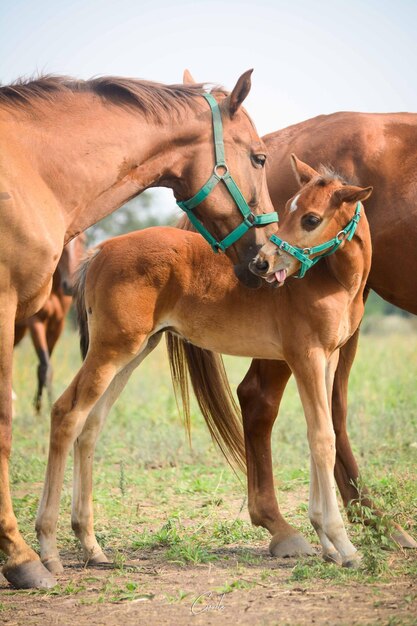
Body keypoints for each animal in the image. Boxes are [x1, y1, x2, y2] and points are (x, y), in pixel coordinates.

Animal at [14, 233, 86, 410]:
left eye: (83, 240)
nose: (70, 285)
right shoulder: (36, 323)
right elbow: (45, 367)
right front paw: (40, 410)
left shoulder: (57, 325)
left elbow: (47, 367)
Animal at [35, 156, 370, 572]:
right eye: (291, 208)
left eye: (310, 218)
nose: (262, 263)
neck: (333, 280)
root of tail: (100, 250)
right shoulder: (305, 357)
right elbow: (322, 438)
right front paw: (344, 545)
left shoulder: (327, 359)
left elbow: (319, 439)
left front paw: (328, 543)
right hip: (112, 349)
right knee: (66, 413)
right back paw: (48, 548)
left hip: (133, 350)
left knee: (91, 425)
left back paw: (91, 545)